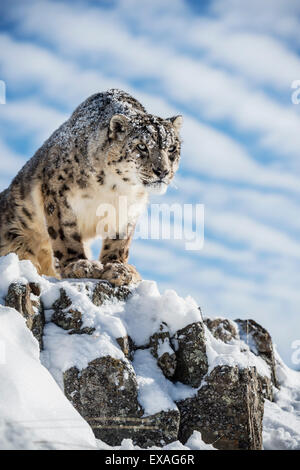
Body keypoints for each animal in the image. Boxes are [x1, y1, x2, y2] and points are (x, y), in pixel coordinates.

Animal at [0, 89, 182, 284]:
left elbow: (120, 240)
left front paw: (119, 268)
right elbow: (65, 234)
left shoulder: (129, 209)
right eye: (141, 146)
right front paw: (79, 265)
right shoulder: (59, 195)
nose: (163, 171)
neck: (115, 189)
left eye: (172, 148)